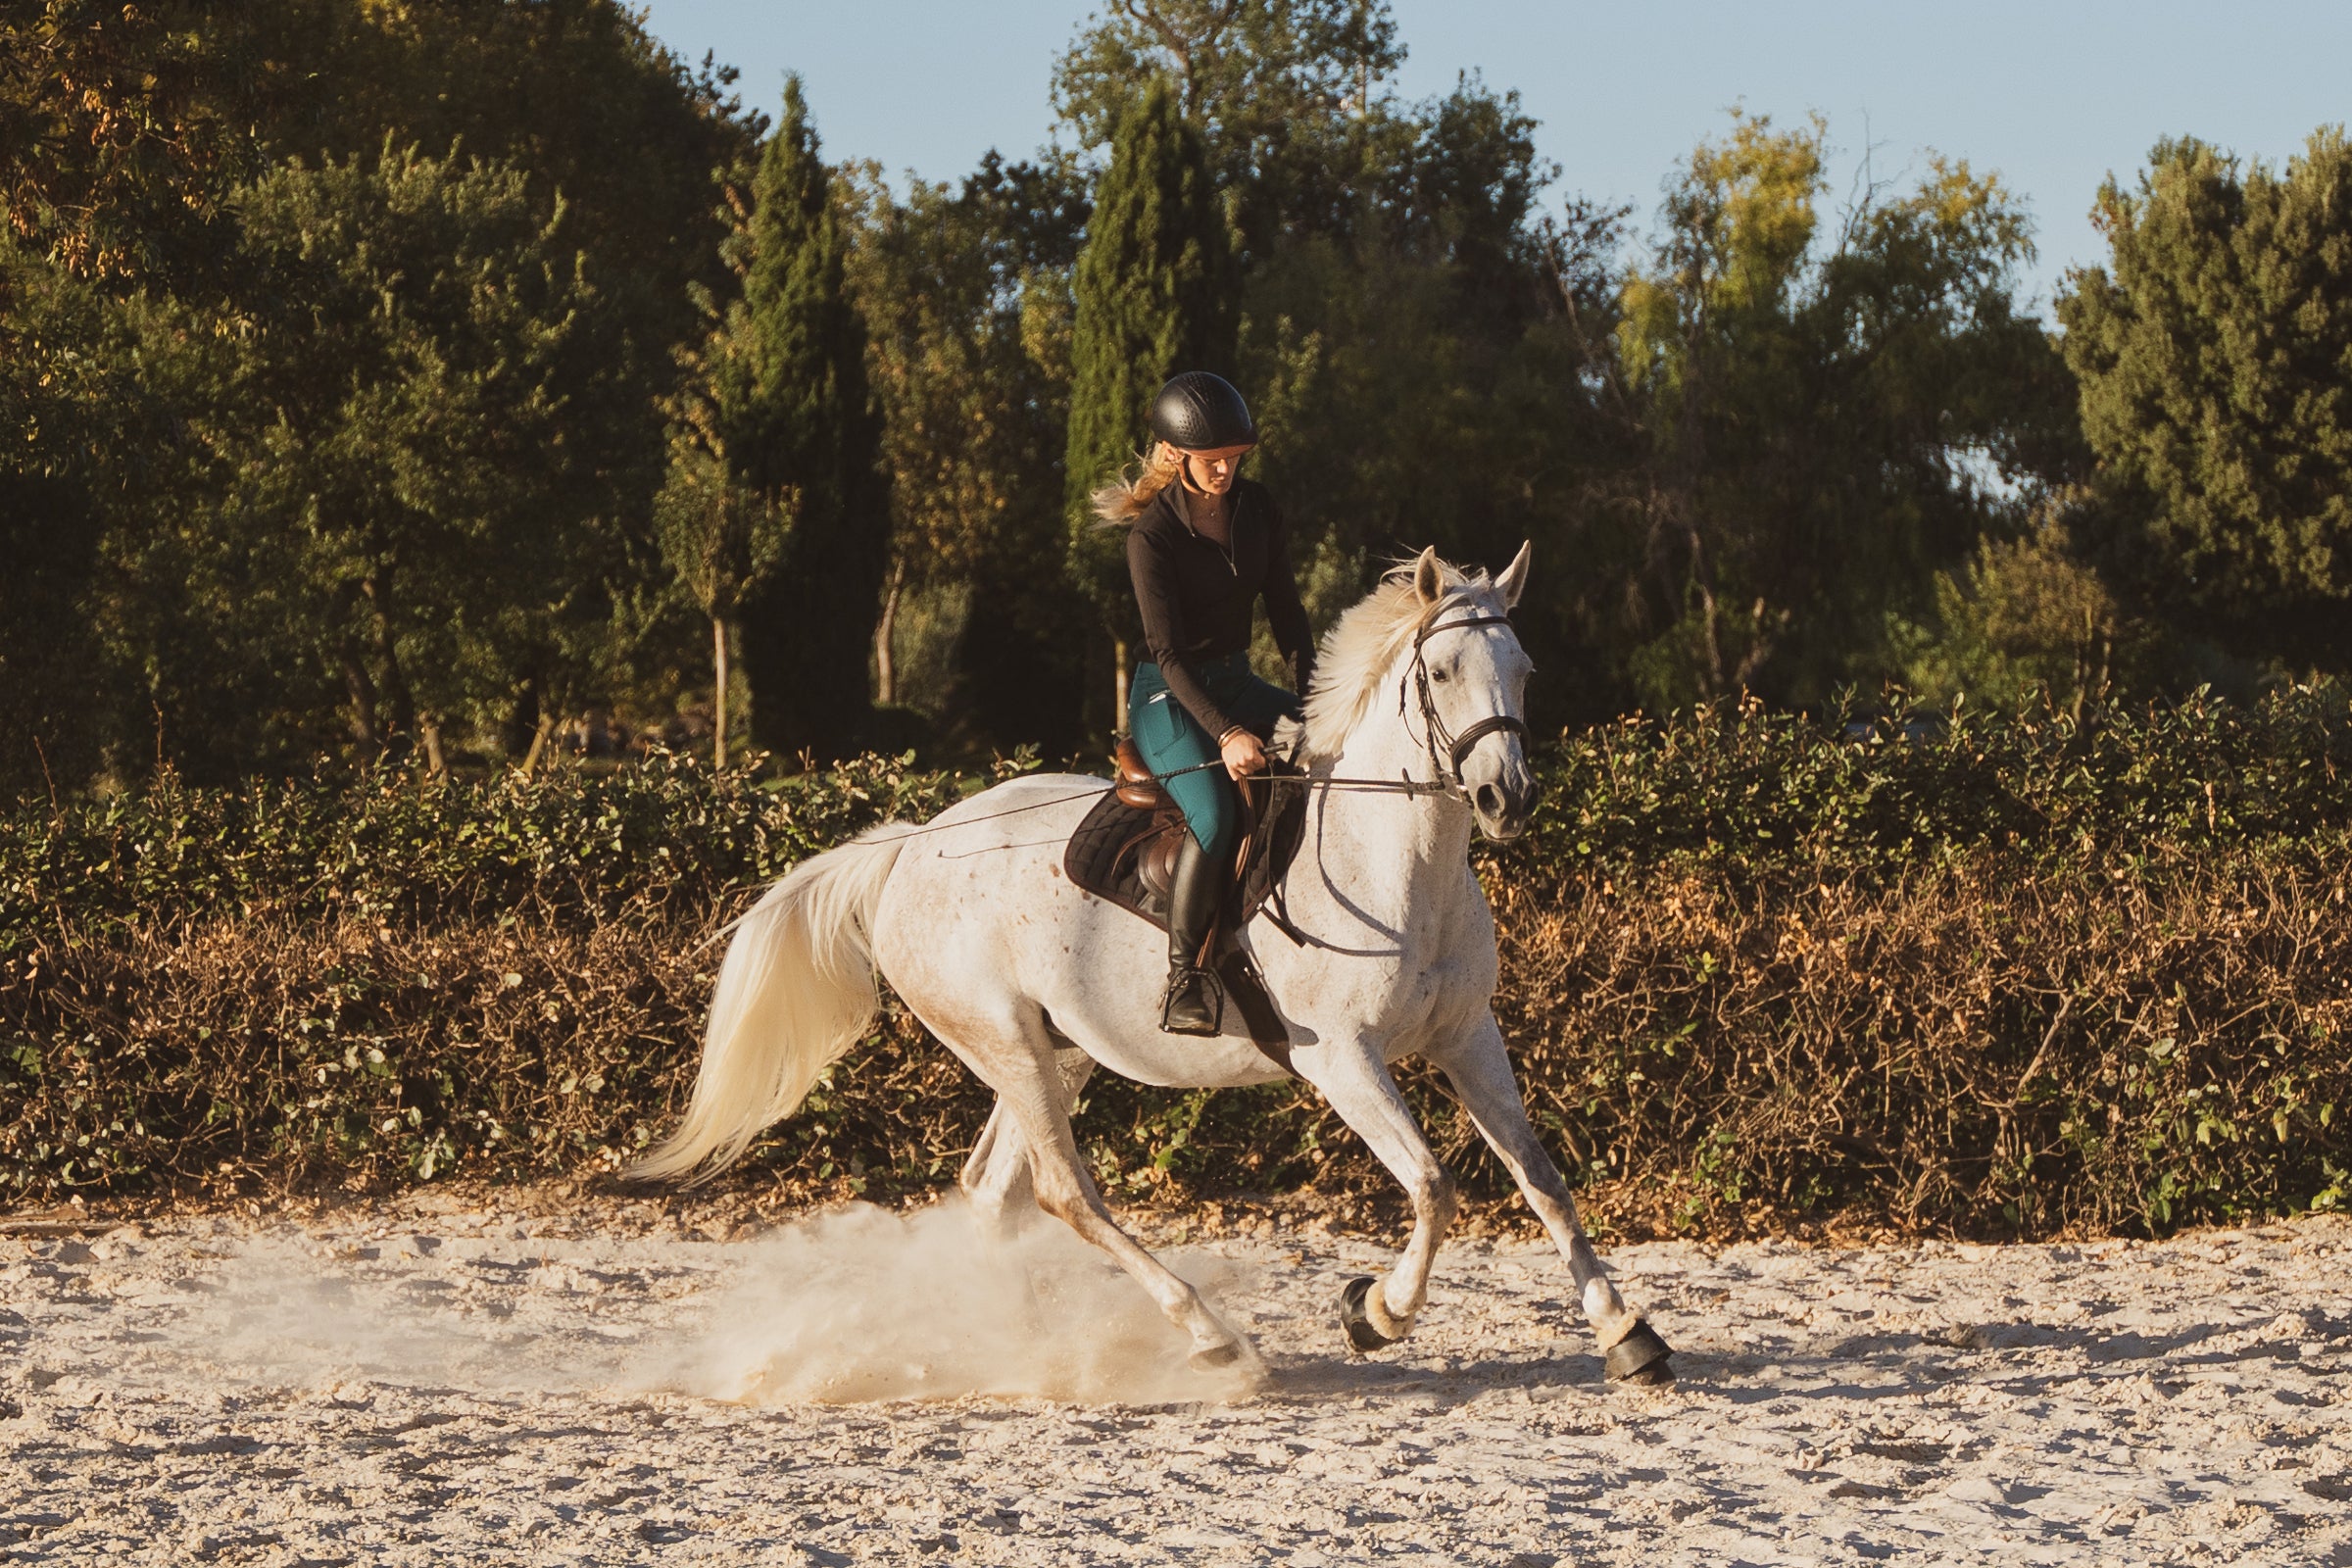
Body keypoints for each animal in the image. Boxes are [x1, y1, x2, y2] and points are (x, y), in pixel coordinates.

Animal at [644, 545, 1674, 1382]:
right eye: (1445, 668)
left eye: (1524, 670)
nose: (1507, 799)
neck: (1395, 861)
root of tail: (911, 845)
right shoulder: (1343, 1060)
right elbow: (1433, 1184)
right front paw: (1375, 1313)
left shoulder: (1467, 1038)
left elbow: (1541, 1178)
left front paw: (1626, 1332)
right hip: (1007, 1047)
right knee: (1063, 1192)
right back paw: (1208, 1336)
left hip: (1053, 1053)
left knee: (993, 1192)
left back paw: (1029, 1351)